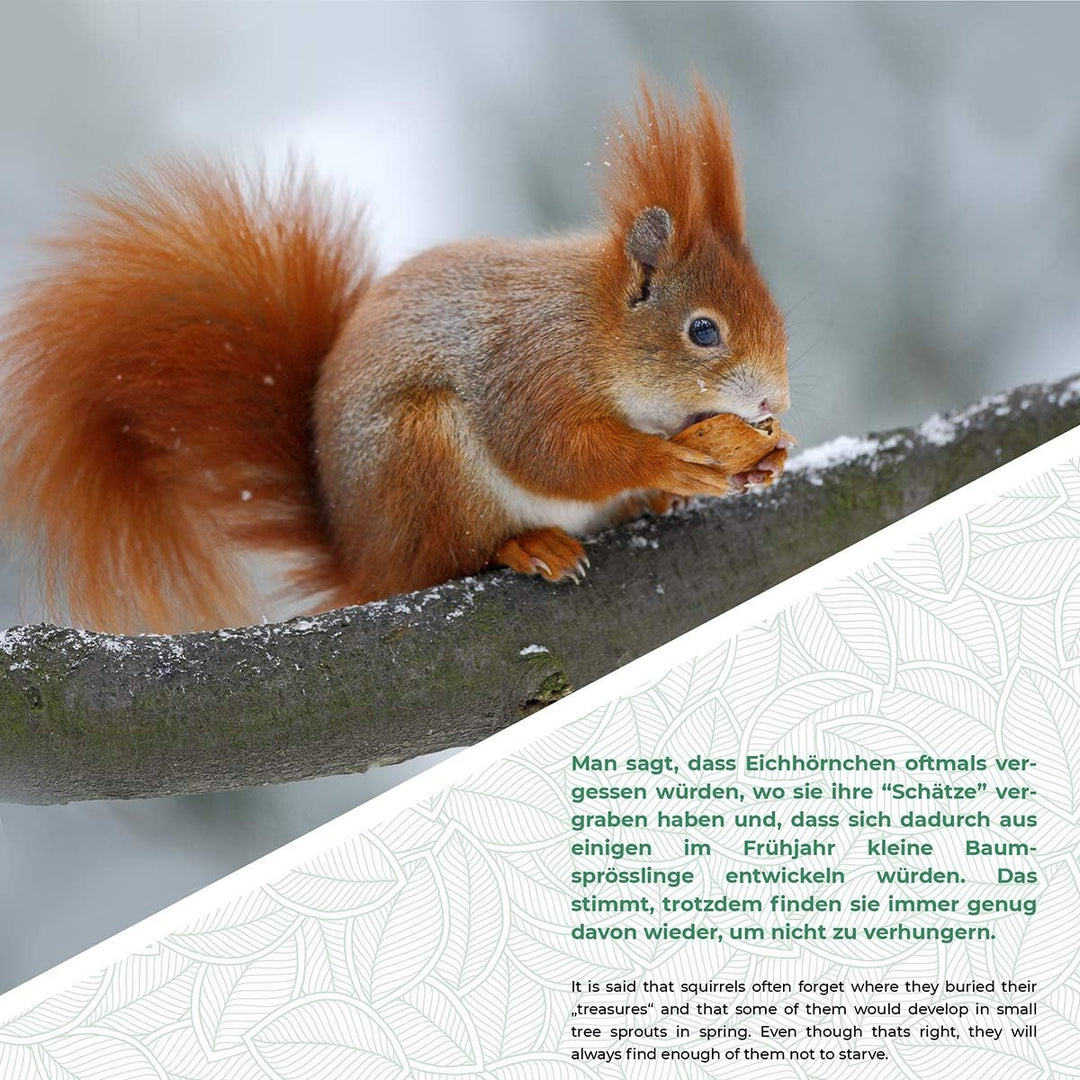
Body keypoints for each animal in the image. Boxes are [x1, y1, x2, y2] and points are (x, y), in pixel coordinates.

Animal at [0, 81, 790, 634]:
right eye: (703, 332)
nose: (773, 404)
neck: (594, 328)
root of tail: (364, 563)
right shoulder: (529, 369)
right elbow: (548, 452)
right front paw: (666, 463)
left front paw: (767, 458)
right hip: (425, 456)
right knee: (449, 559)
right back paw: (531, 546)